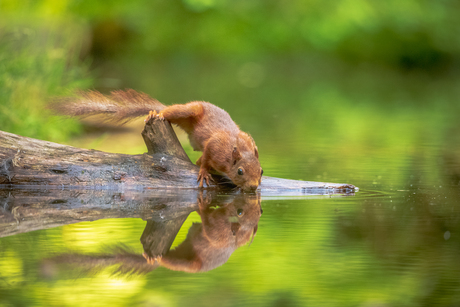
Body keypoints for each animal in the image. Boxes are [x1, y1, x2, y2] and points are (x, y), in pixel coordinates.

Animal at [53, 88, 262, 192]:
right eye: (240, 171)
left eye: (261, 171)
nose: (254, 187)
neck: (237, 148)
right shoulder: (215, 148)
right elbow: (206, 159)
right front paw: (203, 172)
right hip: (187, 111)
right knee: (169, 111)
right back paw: (157, 113)